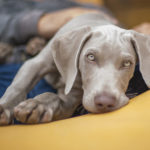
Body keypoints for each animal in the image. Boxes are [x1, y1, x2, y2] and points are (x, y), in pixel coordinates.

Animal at [0, 13, 150, 125]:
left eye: (127, 63)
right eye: (91, 57)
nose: (105, 102)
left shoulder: (73, 100)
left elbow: (55, 98)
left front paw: (38, 104)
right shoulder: (35, 64)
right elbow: (18, 87)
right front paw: (5, 107)